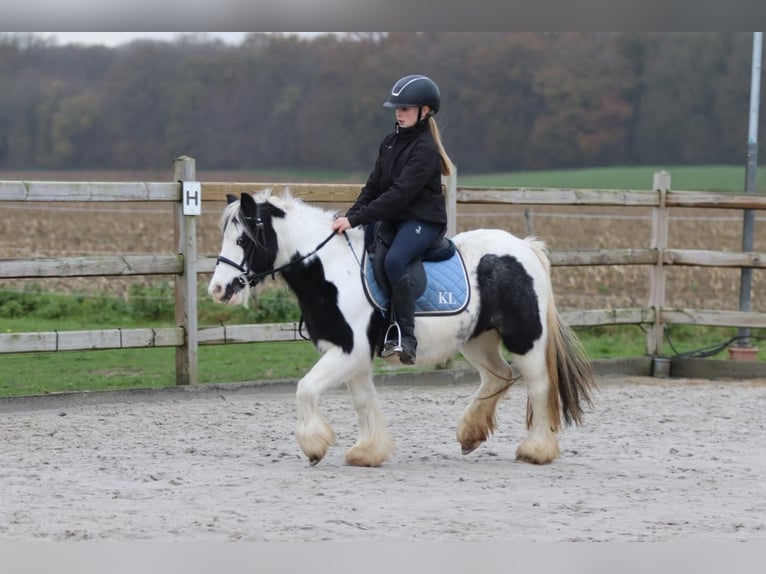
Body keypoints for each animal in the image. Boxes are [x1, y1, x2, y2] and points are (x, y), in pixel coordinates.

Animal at [207, 189, 595, 467]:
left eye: (242, 240)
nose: (218, 289)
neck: (331, 268)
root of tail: (525, 247)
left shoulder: (348, 351)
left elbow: (305, 389)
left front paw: (315, 447)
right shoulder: (352, 356)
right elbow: (363, 401)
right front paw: (367, 452)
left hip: (525, 339)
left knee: (539, 386)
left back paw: (536, 450)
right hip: (478, 340)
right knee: (498, 376)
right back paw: (470, 434)